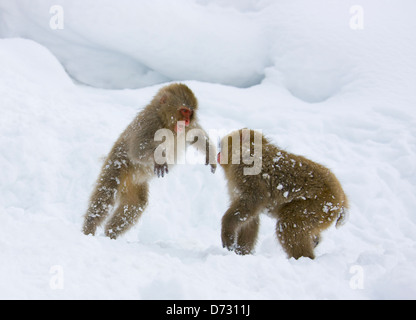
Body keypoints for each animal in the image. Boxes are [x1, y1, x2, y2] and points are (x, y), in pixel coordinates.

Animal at [83, 84, 216, 239]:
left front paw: (211, 155)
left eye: (190, 113)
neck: (166, 123)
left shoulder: (186, 128)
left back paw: (110, 233)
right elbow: (137, 149)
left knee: (136, 205)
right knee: (105, 196)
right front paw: (159, 158)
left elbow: (197, 135)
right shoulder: (149, 123)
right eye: (184, 111)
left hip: (134, 183)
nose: (187, 121)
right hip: (117, 165)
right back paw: (89, 228)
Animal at [218, 129, 348, 258]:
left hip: (319, 205)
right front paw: (242, 252)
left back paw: (303, 258)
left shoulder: (246, 169)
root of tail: (342, 197)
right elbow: (251, 217)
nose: (218, 153)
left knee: (289, 225)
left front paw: (227, 232)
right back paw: (315, 242)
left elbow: (255, 199)